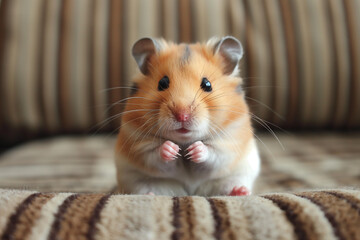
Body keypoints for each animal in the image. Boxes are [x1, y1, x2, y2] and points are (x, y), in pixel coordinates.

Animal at [115, 36, 258, 197]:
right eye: (162, 83)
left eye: (207, 84)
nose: (182, 116)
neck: (184, 142)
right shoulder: (139, 145)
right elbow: (155, 154)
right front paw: (171, 148)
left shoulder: (228, 143)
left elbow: (212, 153)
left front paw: (195, 149)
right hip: (140, 182)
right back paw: (149, 195)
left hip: (234, 177)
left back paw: (240, 192)